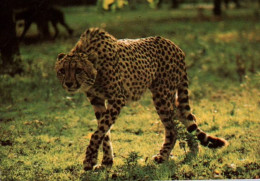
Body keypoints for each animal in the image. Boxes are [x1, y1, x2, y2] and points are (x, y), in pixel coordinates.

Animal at [55, 27, 228, 170]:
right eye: (62, 71)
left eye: (78, 70)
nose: (69, 83)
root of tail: (174, 45)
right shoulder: (97, 100)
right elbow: (104, 132)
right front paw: (106, 162)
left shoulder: (117, 99)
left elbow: (99, 132)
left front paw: (89, 161)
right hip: (169, 95)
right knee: (186, 116)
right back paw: (193, 149)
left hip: (162, 95)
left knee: (172, 128)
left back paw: (163, 156)